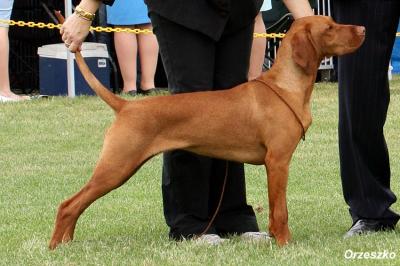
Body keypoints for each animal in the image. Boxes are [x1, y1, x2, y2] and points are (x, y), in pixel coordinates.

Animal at [48, 16, 364, 249]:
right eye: (330, 28)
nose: (362, 29)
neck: (286, 87)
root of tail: (125, 106)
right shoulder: (277, 162)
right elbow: (280, 210)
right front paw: (285, 243)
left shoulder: (275, 164)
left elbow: (276, 209)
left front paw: (276, 240)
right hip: (117, 165)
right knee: (68, 204)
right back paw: (55, 247)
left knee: (75, 205)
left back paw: (66, 243)